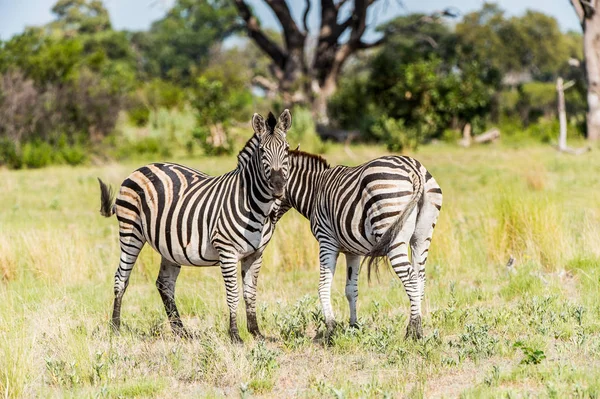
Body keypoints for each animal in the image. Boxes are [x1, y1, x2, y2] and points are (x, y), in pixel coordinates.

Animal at [97, 110, 292, 344]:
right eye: (262, 151)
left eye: (287, 150)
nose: (278, 187)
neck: (254, 203)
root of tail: (140, 168)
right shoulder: (227, 251)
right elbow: (233, 294)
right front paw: (235, 335)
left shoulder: (255, 254)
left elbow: (250, 293)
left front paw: (256, 332)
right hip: (131, 231)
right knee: (121, 278)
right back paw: (116, 328)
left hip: (169, 244)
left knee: (165, 284)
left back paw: (181, 331)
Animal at [272, 148, 440, 340]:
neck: (314, 191)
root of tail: (413, 168)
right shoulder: (353, 251)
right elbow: (351, 289)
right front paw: (354, 326)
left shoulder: (326, 240)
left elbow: (323, 285)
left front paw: (330, 329)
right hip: (422, 236)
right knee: (420, 278)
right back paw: (416, 325)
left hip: (393, 232)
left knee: (411, 278)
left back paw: (414, 331)